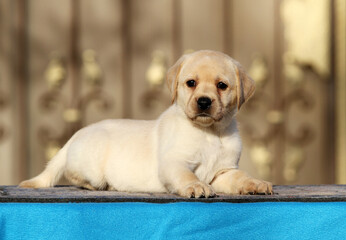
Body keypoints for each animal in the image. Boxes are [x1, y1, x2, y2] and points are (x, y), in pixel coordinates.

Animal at [19, 50, 274, 197]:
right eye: (191, 83)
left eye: (222, 86)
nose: (203, 102)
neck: (209, 132)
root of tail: (75, 136)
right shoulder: (173, 163)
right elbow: (186, 175)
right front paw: (196, 186)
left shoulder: (224, 171)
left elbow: (241, 177)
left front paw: (256, 183)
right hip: (91, 166)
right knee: (76, 176)